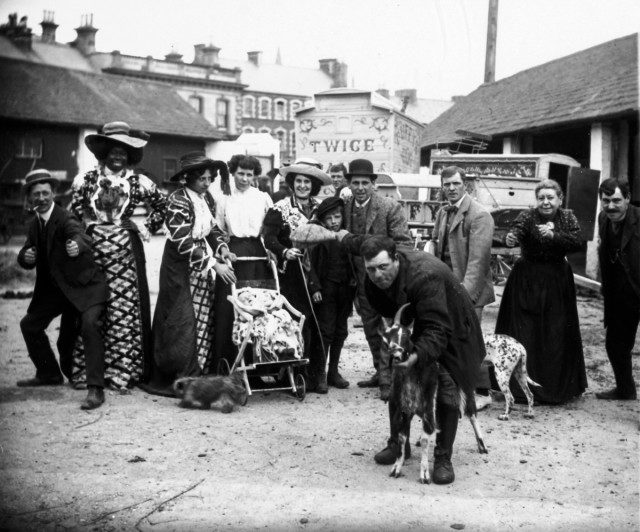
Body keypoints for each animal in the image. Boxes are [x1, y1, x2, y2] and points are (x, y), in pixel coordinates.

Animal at [382, 304, 488, 482]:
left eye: (407, 335)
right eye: (387, 337)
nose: (395, 352)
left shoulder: (428, 409)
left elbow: (426, 439)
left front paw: (424, 474)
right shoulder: (404, 409)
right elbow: (403, 437)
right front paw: (397, 467)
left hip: (466, 389)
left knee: (472, 413)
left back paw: (482, 445)